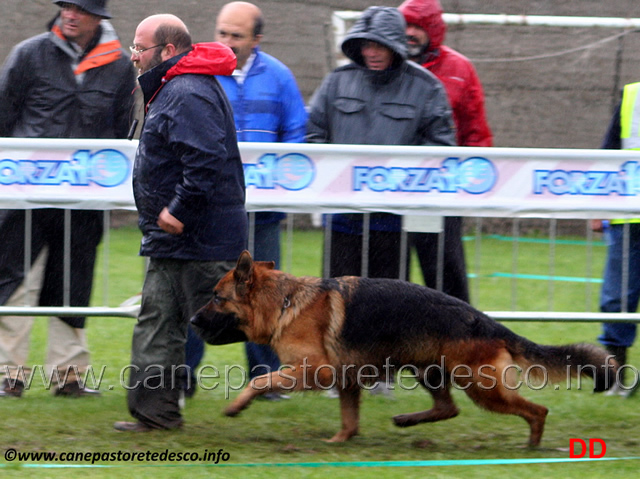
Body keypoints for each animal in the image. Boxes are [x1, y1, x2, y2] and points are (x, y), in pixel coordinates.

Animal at [192, 251, 616, 446]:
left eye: (216, 298)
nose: (192, 322)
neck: (285, 302)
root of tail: (484, 320)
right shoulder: (347, 381)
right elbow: (349, 420)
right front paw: (340, 441)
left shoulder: (318, 371)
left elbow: (261, 380)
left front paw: (236, 405)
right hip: (429, 370)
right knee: (448, 408)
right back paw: (408, 420)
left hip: (483, 388)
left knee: (536, 410)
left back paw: (532, 445)